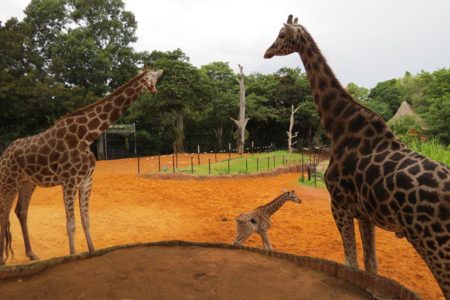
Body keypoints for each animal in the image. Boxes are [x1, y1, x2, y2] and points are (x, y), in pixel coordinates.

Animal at [0, 68, 162, 264]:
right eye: (149, 78)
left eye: (156, 78)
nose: (154, 90)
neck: (87, 136)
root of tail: (4, 154)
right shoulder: (69, 181)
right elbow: (71, 223)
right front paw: (72, 256)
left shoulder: (86, 180)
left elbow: (86, 220)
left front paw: (92, 251)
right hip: (9, 181)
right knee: (4, 213)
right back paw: (2, 260)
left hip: (27, 182)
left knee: (21, 211)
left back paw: (31, 254)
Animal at [266, 14, 448, 298]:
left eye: (282, 34)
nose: (267, 52)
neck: (339, 127)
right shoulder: (365, 214)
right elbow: (370, 266)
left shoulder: (338, 205)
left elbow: (350, 262)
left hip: (434, 244)